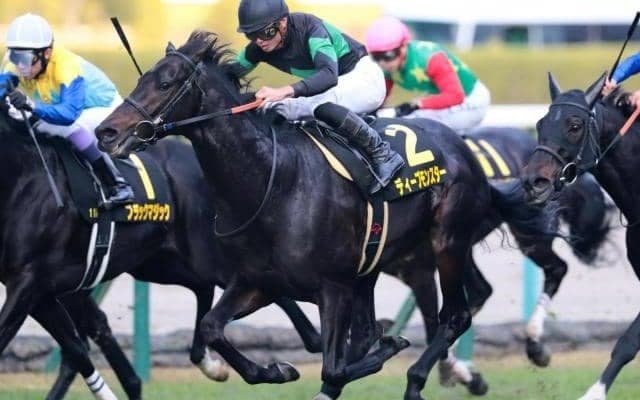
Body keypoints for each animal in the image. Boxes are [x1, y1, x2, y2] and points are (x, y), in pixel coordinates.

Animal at [0, 103, 321, 400]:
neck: (23, 177)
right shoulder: (39, 292)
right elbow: (76, 349)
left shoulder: (30, 281)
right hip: (160, 263)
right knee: (204, 289)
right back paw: (211, 362)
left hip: (210, 256)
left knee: (264, 288)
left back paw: (307, 344)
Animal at [95, 30, 553, 400]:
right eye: (142, 78)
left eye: (166, 82)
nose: (106, 132)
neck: (273, 182)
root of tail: (465, 152)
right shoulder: (257, 282)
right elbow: (211, 327)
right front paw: (276, 369)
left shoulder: (332, 287)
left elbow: (334, 367)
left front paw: (387, 348)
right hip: (374, 266)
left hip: (447, 243)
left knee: (455, 313)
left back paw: (417, 379)